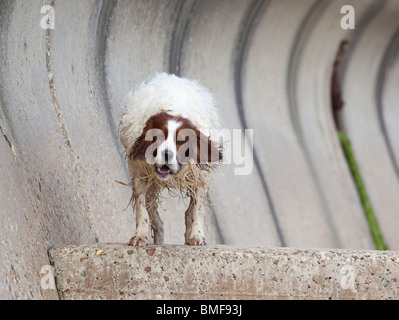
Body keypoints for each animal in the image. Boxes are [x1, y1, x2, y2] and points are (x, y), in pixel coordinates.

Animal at [120, 73, 223, 248]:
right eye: (157, 137)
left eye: (181, 141)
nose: (167, 154)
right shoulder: (139, 174)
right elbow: (142, 209)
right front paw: (140, 235)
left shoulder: (199, 177)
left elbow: (197, 209)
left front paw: (196, 235)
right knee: (156, 216)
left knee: (188, 212)